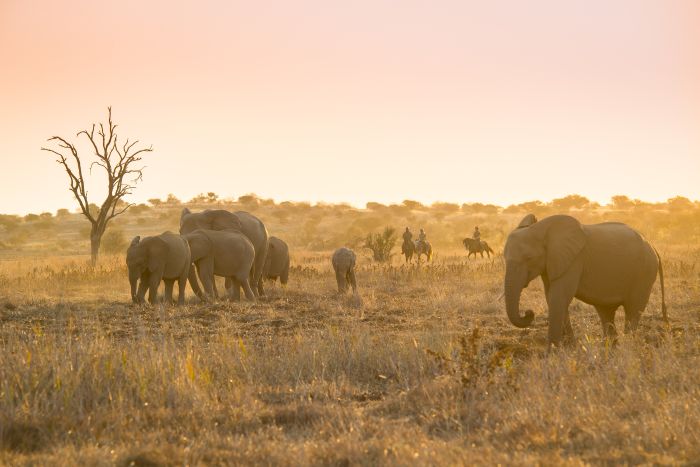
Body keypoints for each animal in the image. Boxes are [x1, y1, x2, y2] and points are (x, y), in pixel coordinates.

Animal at [504, 214, 668, 346]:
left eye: (529, 258)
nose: (528, 313)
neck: (541, 228)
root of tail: (653, 246)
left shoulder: (574, 260)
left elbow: (559, 297)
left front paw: (552, 353)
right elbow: (552, 297)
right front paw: (569, 347)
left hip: (644, 273)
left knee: (633, 310)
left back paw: (627, 346)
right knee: (606, 313)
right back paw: (610, 349)